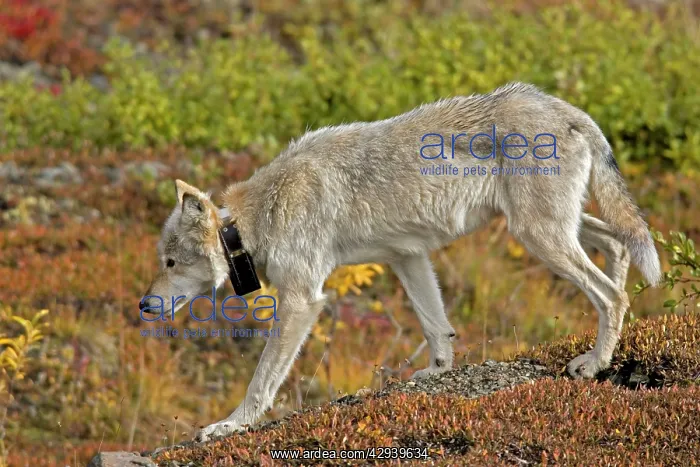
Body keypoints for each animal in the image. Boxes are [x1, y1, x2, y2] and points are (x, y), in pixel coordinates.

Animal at [139, 82, 661, 442]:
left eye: (169, 263)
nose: (144, 305)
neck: (256, 218)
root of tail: (564, 107)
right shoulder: (408, 257)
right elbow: (438, 329)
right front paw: (437, 374)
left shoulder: (302, 300)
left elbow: (261, 381)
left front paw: (229, 426)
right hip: (553, 229)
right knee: (619, 246)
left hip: (539, 236)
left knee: (612, 293)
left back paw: (595, 363)